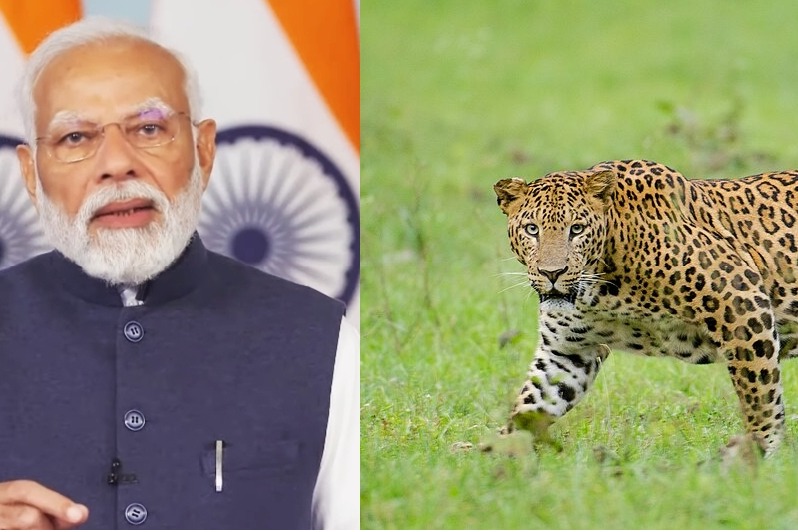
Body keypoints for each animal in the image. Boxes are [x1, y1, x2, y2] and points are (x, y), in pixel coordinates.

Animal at [493, 159, 798, 455]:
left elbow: (759, 391)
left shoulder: (741, 302)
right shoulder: (567, 352)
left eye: (576, 229)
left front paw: (761, 451)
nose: (552, 273)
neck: (602, 290)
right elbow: (531, 403)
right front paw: (499, 454)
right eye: (532, 229)